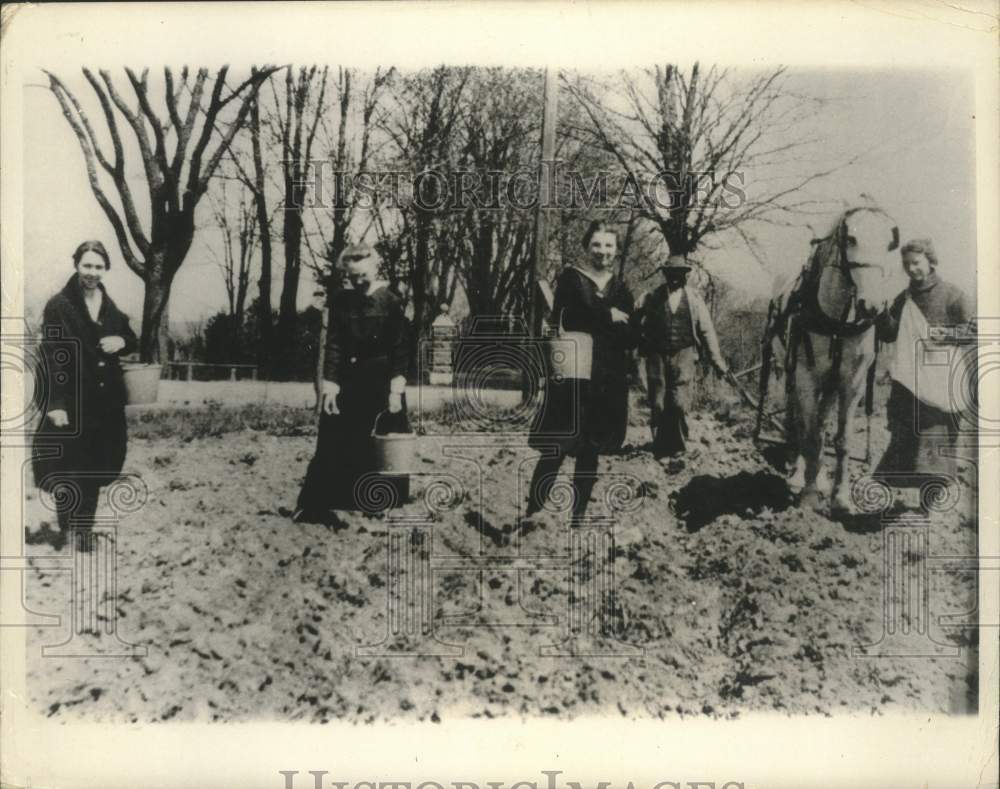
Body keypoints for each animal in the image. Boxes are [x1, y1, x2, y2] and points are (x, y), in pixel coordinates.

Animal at [764, 206, 900, 516]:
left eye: (889, 244)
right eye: (851, 238)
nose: (872, 307)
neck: (836, 322)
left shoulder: (852, 383)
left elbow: (841, 440)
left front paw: (839, 497)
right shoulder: (805, 378)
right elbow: (810, 435)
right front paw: (809, 495)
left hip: (829, 384)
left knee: (821, 424)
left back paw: (820, 477)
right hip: (792, 373)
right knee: (799, 423)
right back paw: (799, 474)